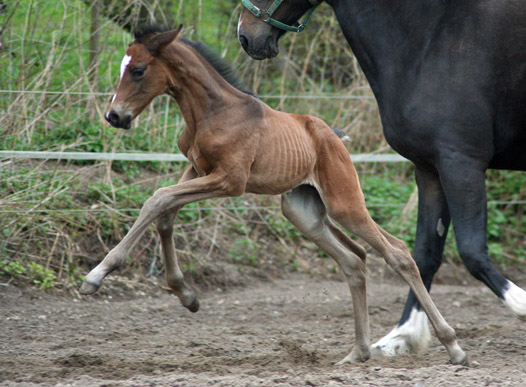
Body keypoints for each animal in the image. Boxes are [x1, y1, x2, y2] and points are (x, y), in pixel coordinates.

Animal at [79, 25, 470, 366]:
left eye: (139, 70)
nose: (114, 116)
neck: (211, 112)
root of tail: (334, 136)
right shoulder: (197, 171)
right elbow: (166, 214)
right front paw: (186, 295)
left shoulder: (229, 180)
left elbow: (157, 198)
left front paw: (96, 276)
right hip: (303, 212)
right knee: (353, 260)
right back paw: (358, 352)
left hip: (345, 205)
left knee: (398, 253)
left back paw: (453, 347)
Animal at [236, 0, 526, 358]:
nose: (245, 35)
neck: (433, 38)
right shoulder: (430, 169)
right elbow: (425, 254)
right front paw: (403, 335)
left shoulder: (461, 163)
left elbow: (471, 250)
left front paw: (522, 305)